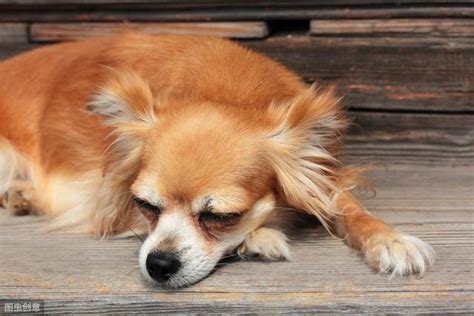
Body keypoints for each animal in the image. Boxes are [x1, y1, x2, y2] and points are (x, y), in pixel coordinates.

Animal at [0, 32, 434, 288]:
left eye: (221, 216)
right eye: (144, 206)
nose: (159, 264)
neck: (223, 88)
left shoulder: (323, 176)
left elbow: (350, 209)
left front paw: (390, 239)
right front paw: (261, 237)